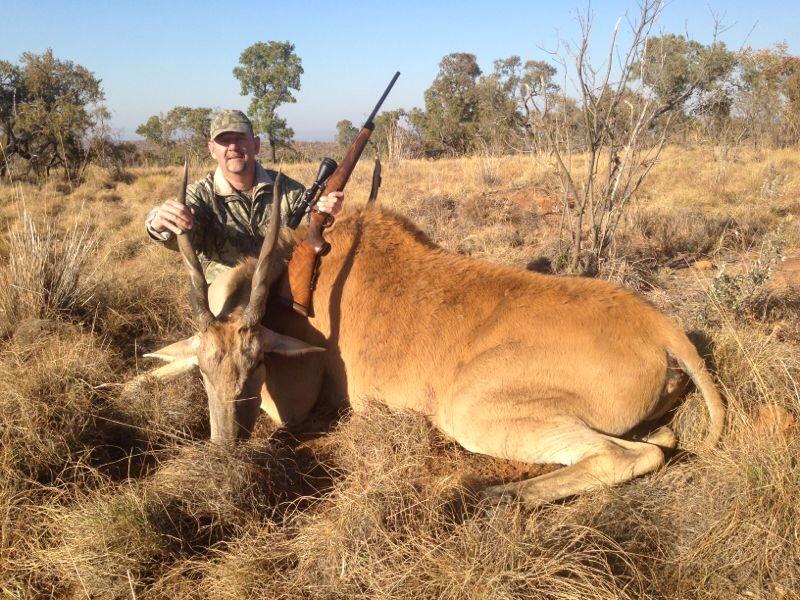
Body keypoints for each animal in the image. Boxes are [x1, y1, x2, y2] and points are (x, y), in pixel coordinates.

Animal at [137, 168, 724, 504]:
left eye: (256, 363)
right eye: (205, 371)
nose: (223, 448)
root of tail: (658, 325)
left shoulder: (298, 399)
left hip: (468, 412)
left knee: (629, 456)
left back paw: (492, 496)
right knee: (660, 440)